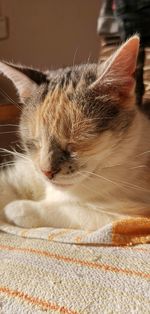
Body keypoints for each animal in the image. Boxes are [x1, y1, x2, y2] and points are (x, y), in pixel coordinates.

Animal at [0, 36, 150, 231]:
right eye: (35, 142)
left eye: (76, 142)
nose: (46, 172)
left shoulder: (130, 216)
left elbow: (71, 210)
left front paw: (20, 208)